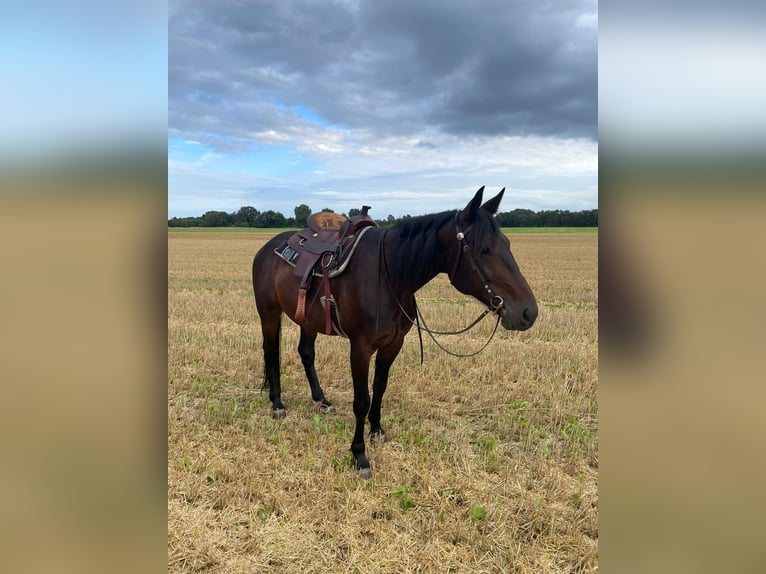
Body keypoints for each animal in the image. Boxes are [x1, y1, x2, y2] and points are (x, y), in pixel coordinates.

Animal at [254, 187, 540, 480]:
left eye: (506, 244)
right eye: (485, 249)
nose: (528, 312)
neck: (389, 275)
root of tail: (268, 248)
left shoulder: (393, 344)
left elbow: (380, 388)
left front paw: (376, 430)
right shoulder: (360, 348)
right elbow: (362, 400)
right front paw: (359, 455)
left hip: (308, 321)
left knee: (306, 353)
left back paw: (321, 400)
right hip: (269, 313)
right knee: (271, 352)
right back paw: (277, 404)